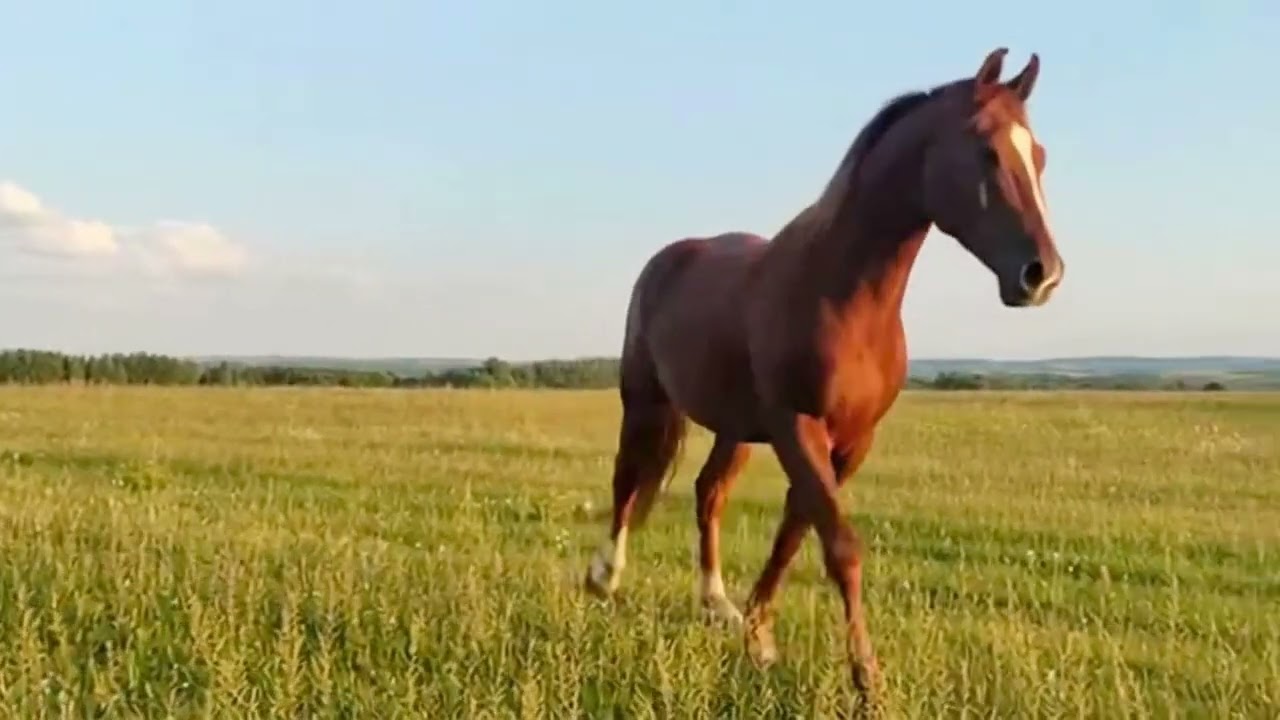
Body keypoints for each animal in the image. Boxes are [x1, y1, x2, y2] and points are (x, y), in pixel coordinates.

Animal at [583, 47, 1064, 706]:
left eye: (1037, 155)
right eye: (986, 151)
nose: (1042, 275)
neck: (846, 296)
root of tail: (671, 257)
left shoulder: (851, 439)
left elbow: (795, 532)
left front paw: (758, 634)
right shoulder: (797, 425)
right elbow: (839, 545)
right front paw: (866, 679)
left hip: (734, 427)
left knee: (709, 493)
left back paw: (716, 604)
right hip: (645, 399)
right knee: (629, 480)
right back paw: (605, 578)